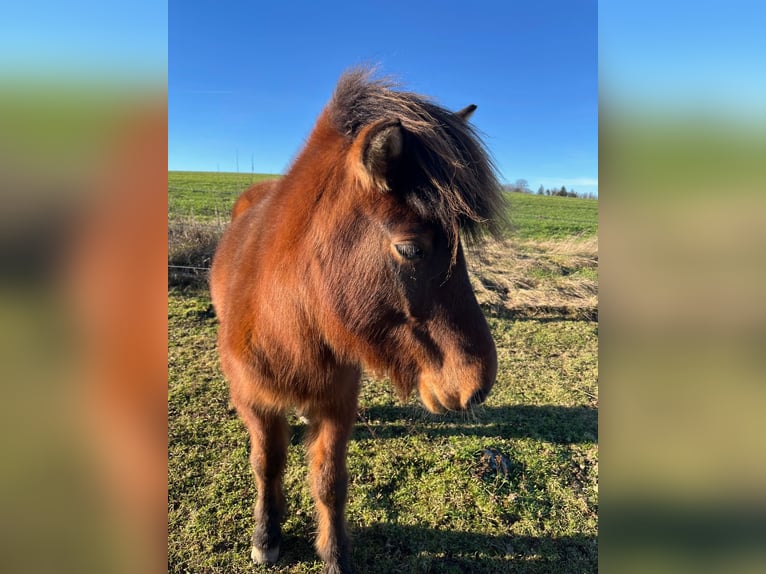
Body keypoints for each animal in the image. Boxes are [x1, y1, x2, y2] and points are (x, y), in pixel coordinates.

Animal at [210, 68, 508, 574]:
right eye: (410, 248)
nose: (478, 382)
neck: (291, 324)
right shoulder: (256, 402)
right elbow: (266, 465)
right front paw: (266, 535)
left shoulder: (337, 402)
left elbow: (330, 480)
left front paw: (335, 554)